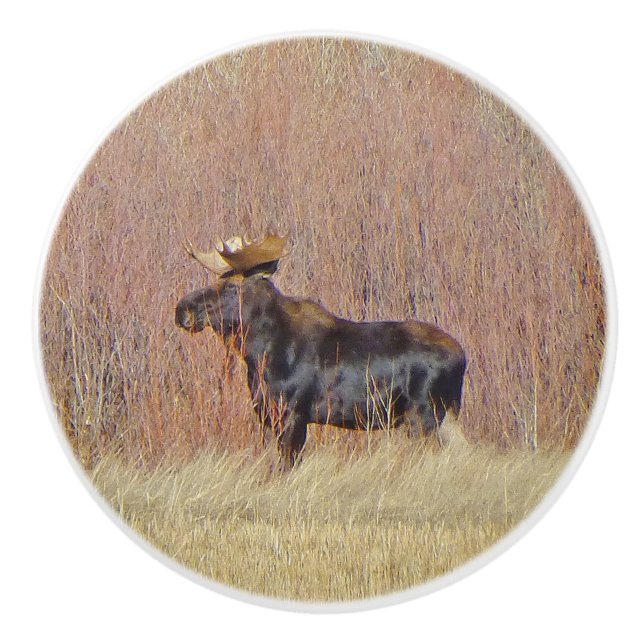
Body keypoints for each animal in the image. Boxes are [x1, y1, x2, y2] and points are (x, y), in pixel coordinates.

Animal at [175, 234, 466, 467]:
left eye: (232, 286)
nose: (182, 309)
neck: (258, 353)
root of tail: (463, 358)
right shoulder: (267, 415)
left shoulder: (293, 414)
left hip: (425, 414)